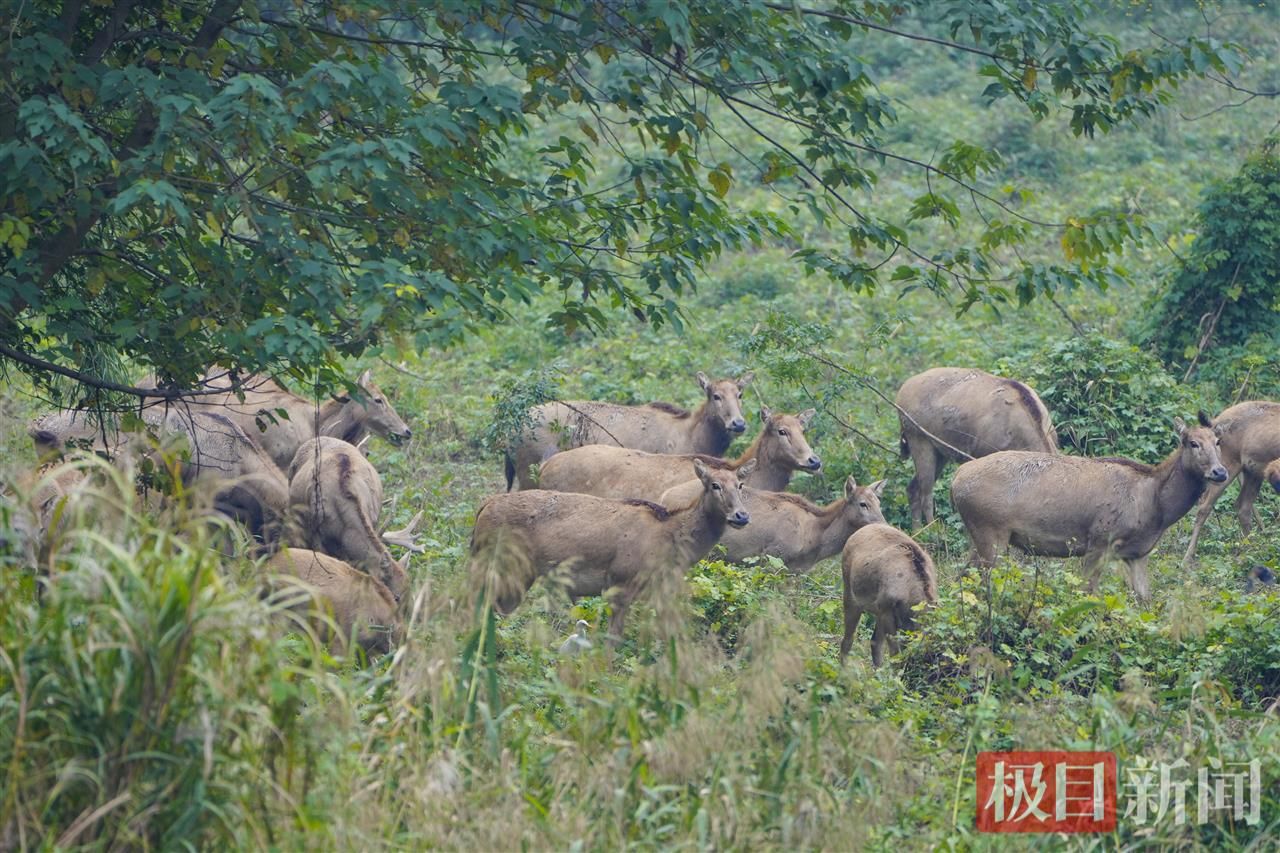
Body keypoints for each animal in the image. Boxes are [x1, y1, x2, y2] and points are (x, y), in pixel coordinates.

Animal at [470, 458, 754, 643]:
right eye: (714, 485)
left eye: (740, 485)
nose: (741, 516)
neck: (671, 542)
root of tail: (482, 508)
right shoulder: (620, 580)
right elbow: (613, 638)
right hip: (506, 566)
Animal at [840, 524, 938, 667]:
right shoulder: (887, 612)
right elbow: (895, 654)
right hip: (851, 595)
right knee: (848, 640)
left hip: (878, 610)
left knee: (874, 642)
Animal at [896, 367, 1057, 528]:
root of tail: (900, 394)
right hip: (918, 439)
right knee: (926, 494)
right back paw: (932, 530)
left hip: (940, 451)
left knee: (913, 489)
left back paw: (917, 530)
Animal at [951, 414, 1228, 602]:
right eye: (1192, 443)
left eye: (1217, 441)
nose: (1220, 472)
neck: (1155, 508)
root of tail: (955, 480)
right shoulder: (1099, 540)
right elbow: (1087, 591)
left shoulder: (1137, 553)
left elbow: (1144, 599)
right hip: (990, 529)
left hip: (980, 534)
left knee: (962, 576)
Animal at [1182, 401, 1280, 568]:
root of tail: (1215, 424)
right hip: (1226, 469)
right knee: (1204, 507)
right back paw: (1187, 558)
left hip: (1252, 472)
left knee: (1243, 506)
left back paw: (1250, 551)